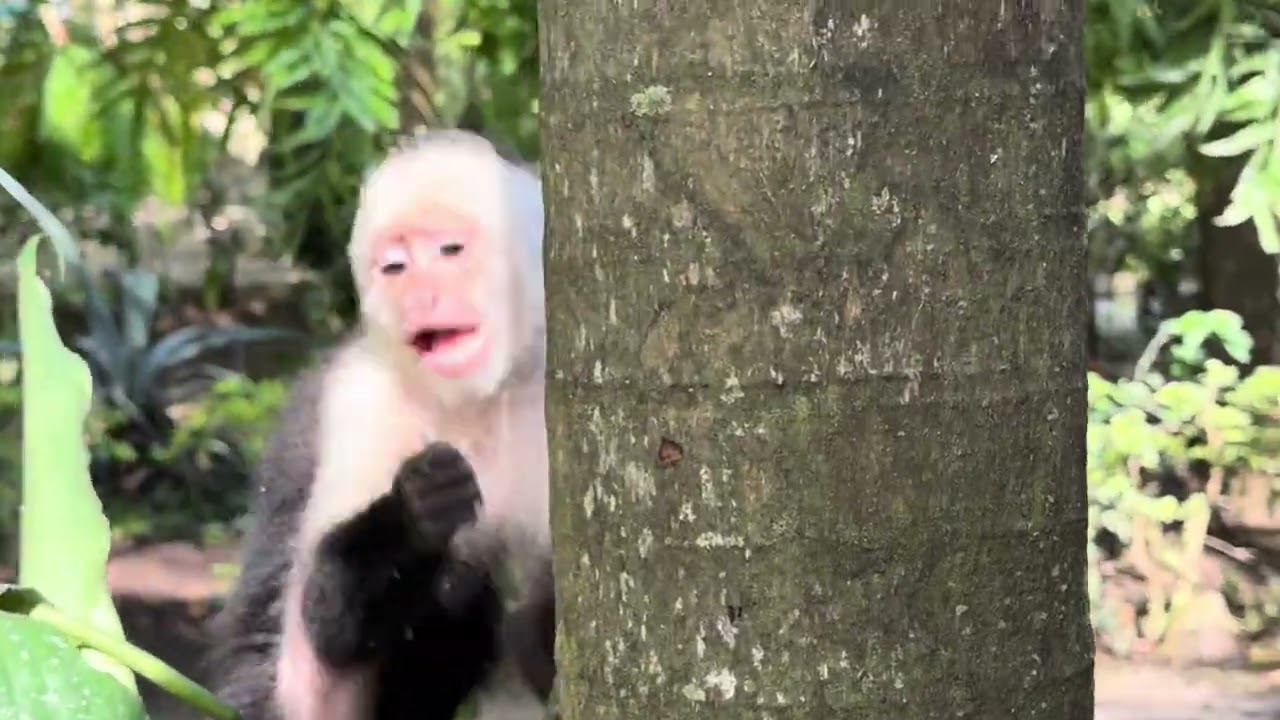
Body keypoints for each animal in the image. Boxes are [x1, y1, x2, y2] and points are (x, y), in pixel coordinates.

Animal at [206, 129, 554, 720]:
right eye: (395, 267)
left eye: (450, 250)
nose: (418, 294)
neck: (479, 398)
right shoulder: (358, 398)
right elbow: (322, 635)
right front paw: (415, 513)